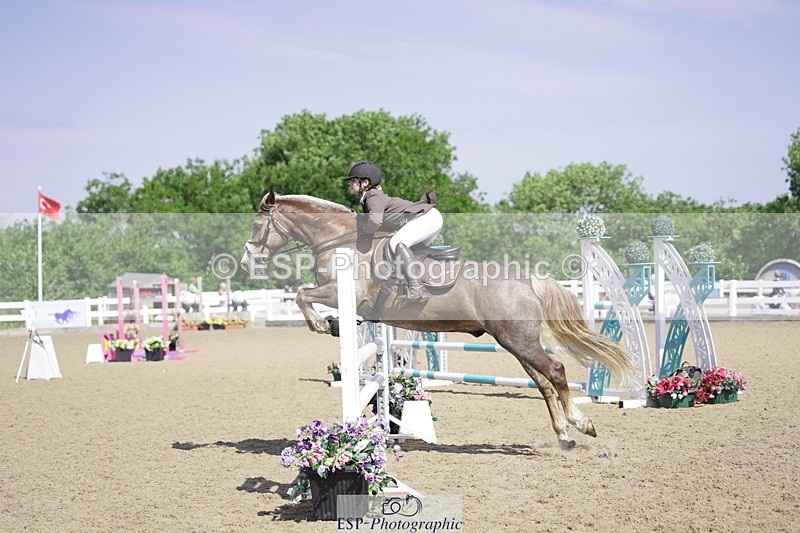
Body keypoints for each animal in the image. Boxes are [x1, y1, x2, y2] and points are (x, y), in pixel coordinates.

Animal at [241, 192, 635, 450]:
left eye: (258, 225)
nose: (246, 263)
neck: (341, 241)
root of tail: (528, 280)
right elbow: (305, 296)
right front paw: (334, 325)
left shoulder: (343, 293)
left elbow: (302, 295)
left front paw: (325, 325)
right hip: (516, 343)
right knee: (544, 383)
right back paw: (563, 435)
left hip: (519, 340)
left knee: (556, 371)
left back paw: (581, 424)